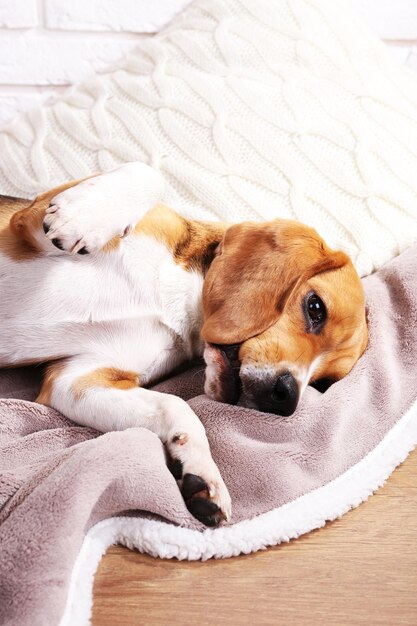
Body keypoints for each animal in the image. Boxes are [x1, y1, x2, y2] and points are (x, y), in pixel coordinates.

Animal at [0, 163, 366, 524]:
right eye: (315, 308)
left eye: (321, 383)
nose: (287, 399)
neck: (178, 300)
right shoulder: (25, 224)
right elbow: (150, 173)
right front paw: (82, 216)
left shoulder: (79, 379)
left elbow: (176, 406)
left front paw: (203, 475)